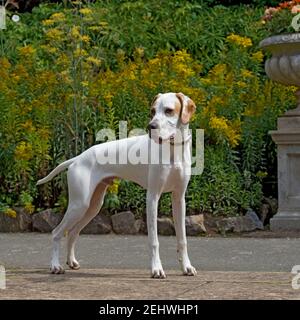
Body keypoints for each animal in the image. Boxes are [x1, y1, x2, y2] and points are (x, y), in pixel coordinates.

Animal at [37, 92, 197, 278]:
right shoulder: (152, 198)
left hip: (92, 206)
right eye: (152, 111)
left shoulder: (179, 199)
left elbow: (182, 239)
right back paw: (55, 266)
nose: (151, 126)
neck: (172, 150)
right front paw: (157, 269)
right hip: (79, 205)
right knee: (57, 232)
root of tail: (77, 158)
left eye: (169, 110)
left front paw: (186, 267)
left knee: (72, 232)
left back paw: (71, 262)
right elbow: (154, 240)